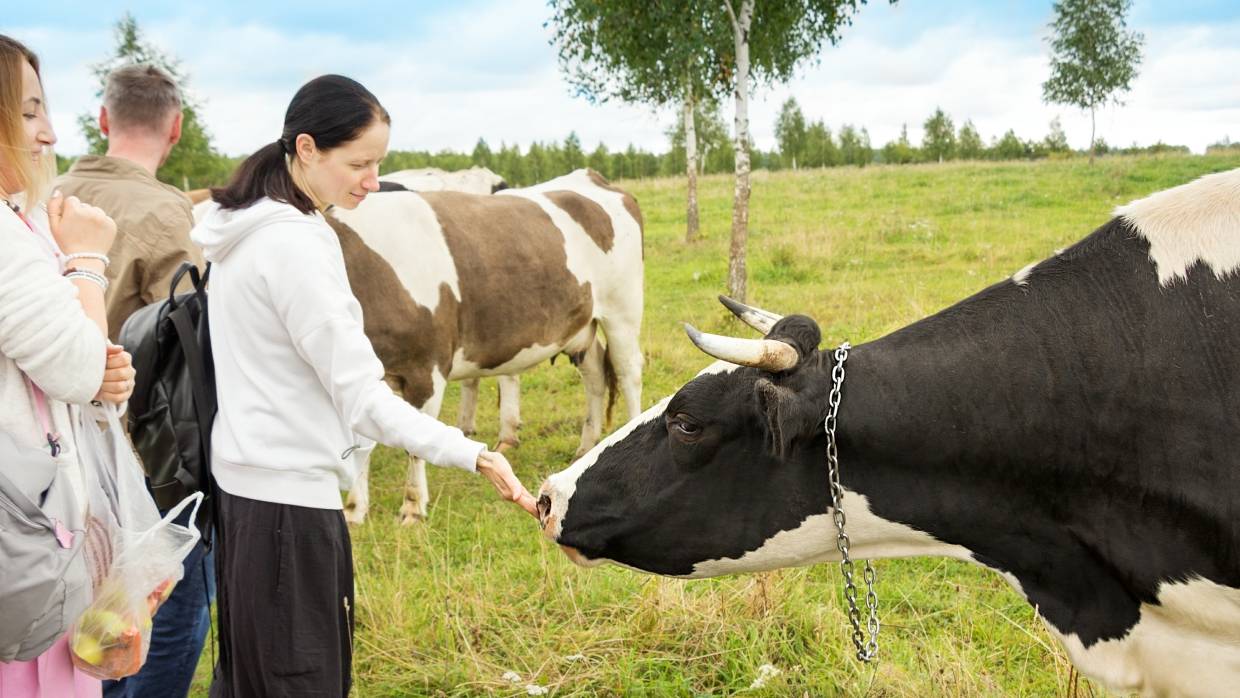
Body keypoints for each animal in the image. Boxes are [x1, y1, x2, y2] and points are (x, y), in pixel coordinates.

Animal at [332, 169, 639, 525]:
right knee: (596, 378)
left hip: (622, 311)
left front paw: (412, 508)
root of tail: (590, 176)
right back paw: (585, 447)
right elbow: (361, 445)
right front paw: (355, 509)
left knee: (628, 374)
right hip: (581, 328)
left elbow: (415, 446)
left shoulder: (427, 368)